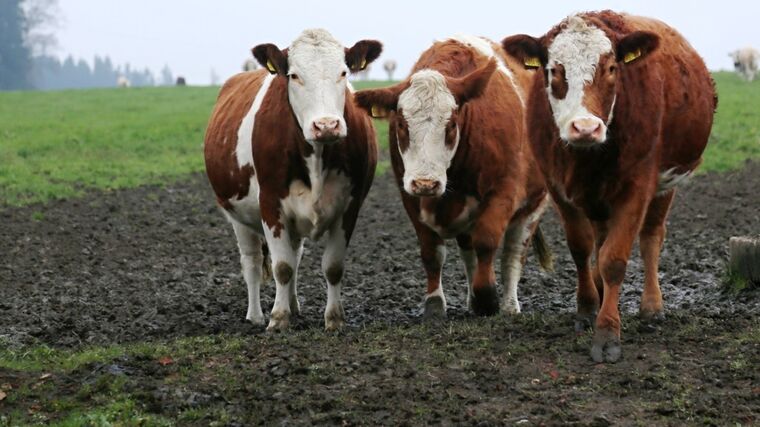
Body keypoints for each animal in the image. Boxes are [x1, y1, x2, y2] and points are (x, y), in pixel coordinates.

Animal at [203, 28, 382, 332]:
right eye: (294, 75)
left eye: (343, 72)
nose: (326, 125)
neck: (317, 154)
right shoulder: (270, 204)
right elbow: (282, 267)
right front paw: (278, 319)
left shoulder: (350, 207)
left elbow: (332, 267)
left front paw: (334, 319)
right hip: (236, 214)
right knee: (252, 262)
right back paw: (255, 315)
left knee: (296, 255)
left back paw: (295, 306)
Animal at [354, 35, 548, 320]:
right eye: (401, 124)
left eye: (452, 124)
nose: (426, 183)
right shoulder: (409, 196)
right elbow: (431, 252)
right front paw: (435, 303)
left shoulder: (502, 191)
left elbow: (487, 241)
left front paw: (487, 299)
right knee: (469, 252)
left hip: (535, 204)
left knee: (514, 252)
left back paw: (509, 305)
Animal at [502, 10, 716, 362]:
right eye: (554, 69)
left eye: (612, 68)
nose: (585, 127)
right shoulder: (558, 188)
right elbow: (581, 249)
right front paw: (588, 308)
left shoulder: (637, 187)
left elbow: (614, 259)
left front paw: (607, 332)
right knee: (600, 240)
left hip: (666, 184)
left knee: (651, 237)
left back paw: (651, 306)